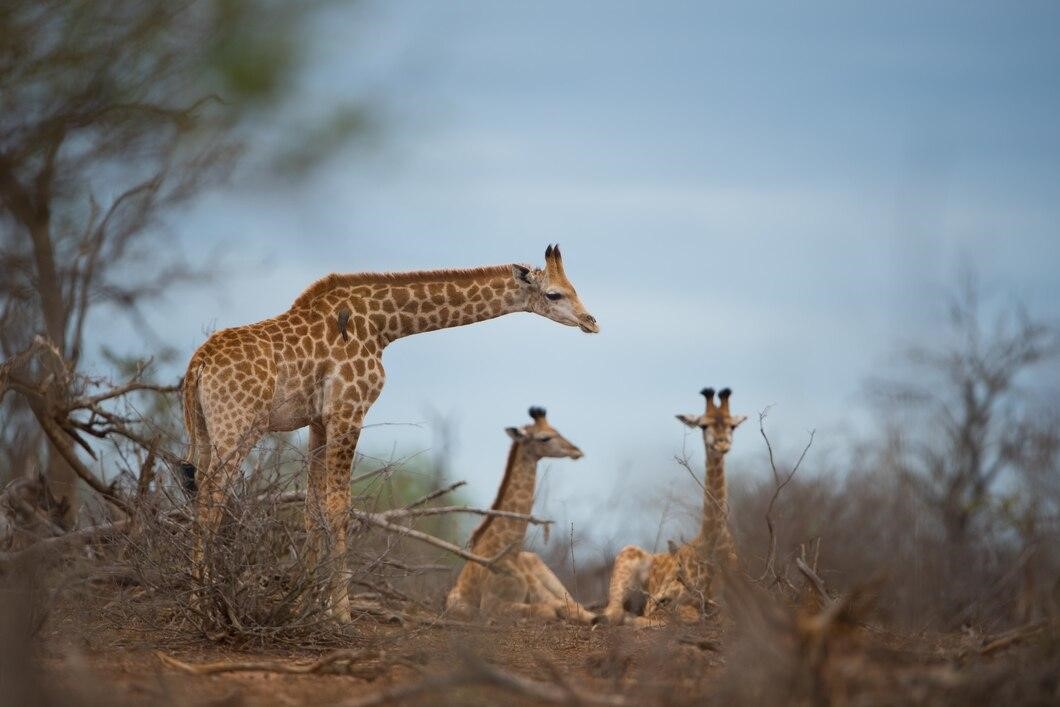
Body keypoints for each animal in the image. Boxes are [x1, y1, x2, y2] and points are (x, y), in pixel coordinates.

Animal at [443, 407, 597, 623]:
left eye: (556, 429)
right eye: (545, 437)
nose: (576, 451)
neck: (510, 550)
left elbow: (564, 608)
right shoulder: (491, 605)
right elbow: (549, 610)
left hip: (548, 576)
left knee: (579, 606)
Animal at [597, 390, 746, 627]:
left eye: (732, 425)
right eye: (703, 425)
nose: (721, 444)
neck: (711, 542)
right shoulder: (661, 600)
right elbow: (681, 615)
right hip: (626, 559)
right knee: (613, 612)